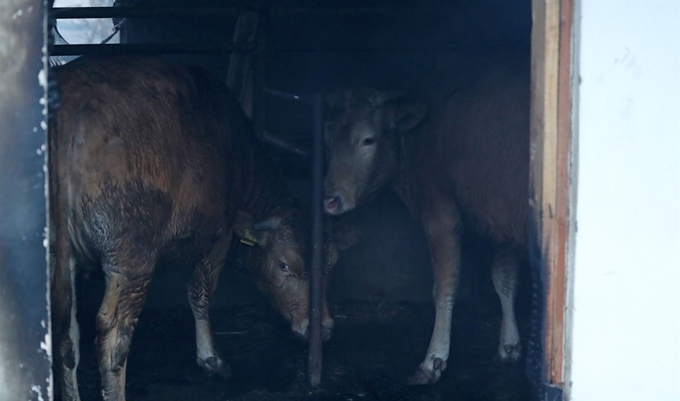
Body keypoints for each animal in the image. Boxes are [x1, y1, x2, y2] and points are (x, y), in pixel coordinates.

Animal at [50, 54, 358, 400]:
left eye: (331, 264)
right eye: (284, 265)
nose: (322, 328)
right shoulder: (218, 235)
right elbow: (201, 292)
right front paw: (211, 358)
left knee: (65, 334)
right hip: (131, 255)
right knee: (113, 335)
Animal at [322, 54, 528, 382]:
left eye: (368, 140)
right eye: (327, 138)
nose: (330, 199)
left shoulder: (439, 209)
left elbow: (445, 284)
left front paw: (434, 359)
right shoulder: (503, 217)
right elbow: (504, 277)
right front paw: (509, 345)